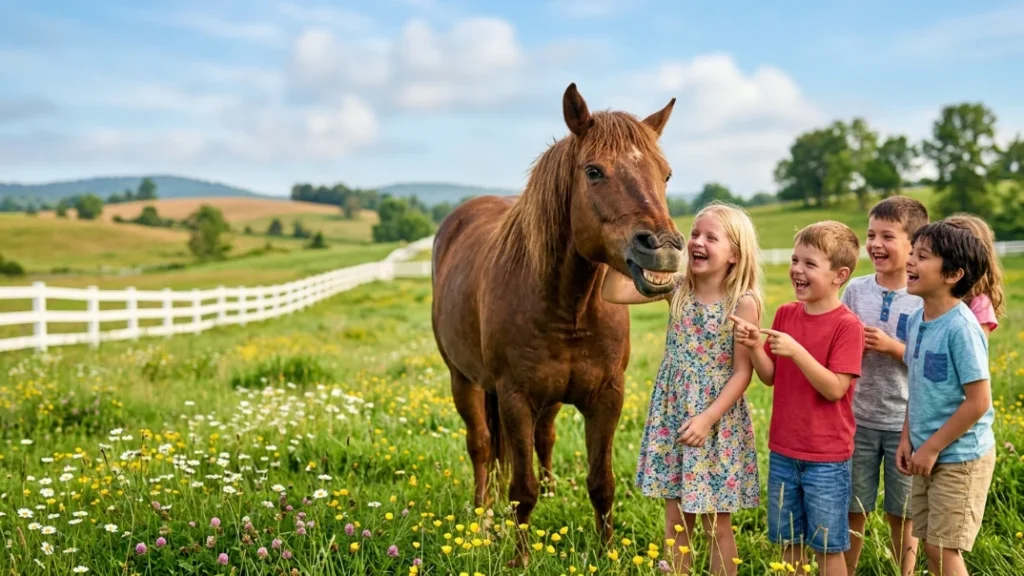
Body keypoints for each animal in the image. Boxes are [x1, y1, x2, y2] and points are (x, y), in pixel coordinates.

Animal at [430, 82, 684, 566]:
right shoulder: (514, 398)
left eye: (666, 175)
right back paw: (481, 515)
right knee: (481, 446)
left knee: (543, 437)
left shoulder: (607, 396)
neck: (570, 307)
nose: (662, 248)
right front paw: (519, 559)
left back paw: (550, 494)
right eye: (594, 171)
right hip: (463, 380)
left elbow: (601, 482)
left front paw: (608, 553)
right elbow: (519, 489)